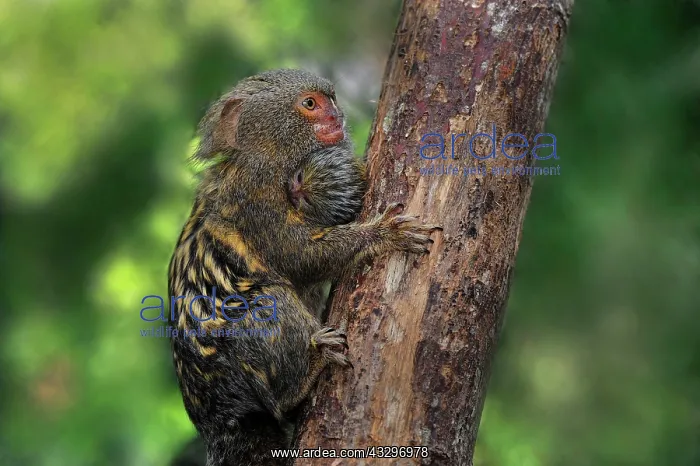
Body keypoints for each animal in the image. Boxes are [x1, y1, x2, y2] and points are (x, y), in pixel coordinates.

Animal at [168, 68, 440, 466]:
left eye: (331, 100)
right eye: (310, 104)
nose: (335, 116)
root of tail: (216, 418)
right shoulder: (255, 195)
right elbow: (298, 257)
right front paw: (382, 235)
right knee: (268, 301)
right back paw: (306, 371)